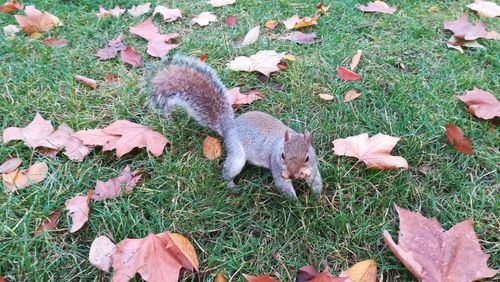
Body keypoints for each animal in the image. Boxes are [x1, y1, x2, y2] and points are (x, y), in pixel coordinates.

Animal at [146, 55, 322, 199]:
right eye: (282, 155)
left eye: (307, 157)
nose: (292, 175)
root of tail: (229, 127)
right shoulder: (277, 167)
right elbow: (283, 186)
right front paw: (298, 204)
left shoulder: (313, 167)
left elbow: (316, 181)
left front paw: (317, 197)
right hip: (236, 154)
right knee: (227, 171)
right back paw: (232, 186)